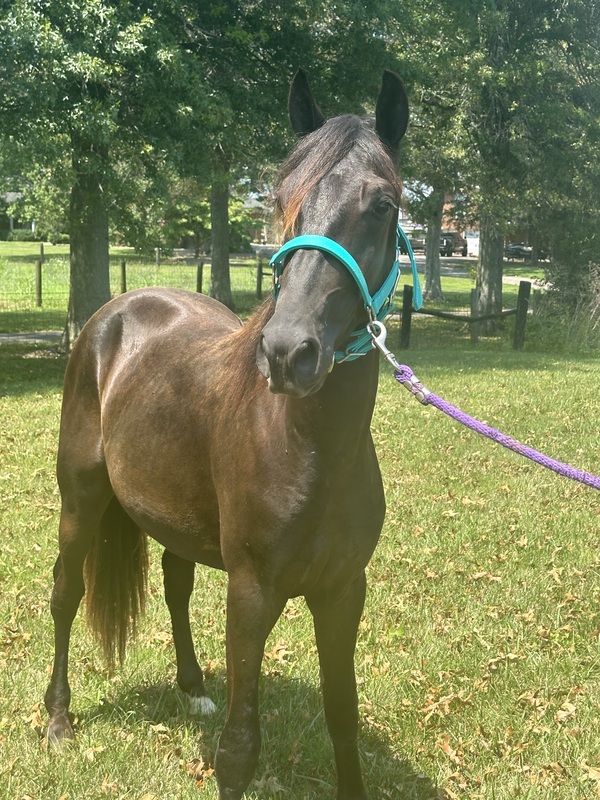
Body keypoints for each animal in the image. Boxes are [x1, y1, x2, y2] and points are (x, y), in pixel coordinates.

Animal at [44, 70, 410, 800]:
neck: (311, 449)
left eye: (382, 204)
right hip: (81, 503)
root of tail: (113, 313)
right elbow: (240, 748)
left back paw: (192, 688)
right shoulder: (251, 593)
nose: (289, 352)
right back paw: (58, 720)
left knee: (174, 584)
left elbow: (343, 715)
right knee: (66, 595)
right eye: (281, 198)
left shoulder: (343, 592)